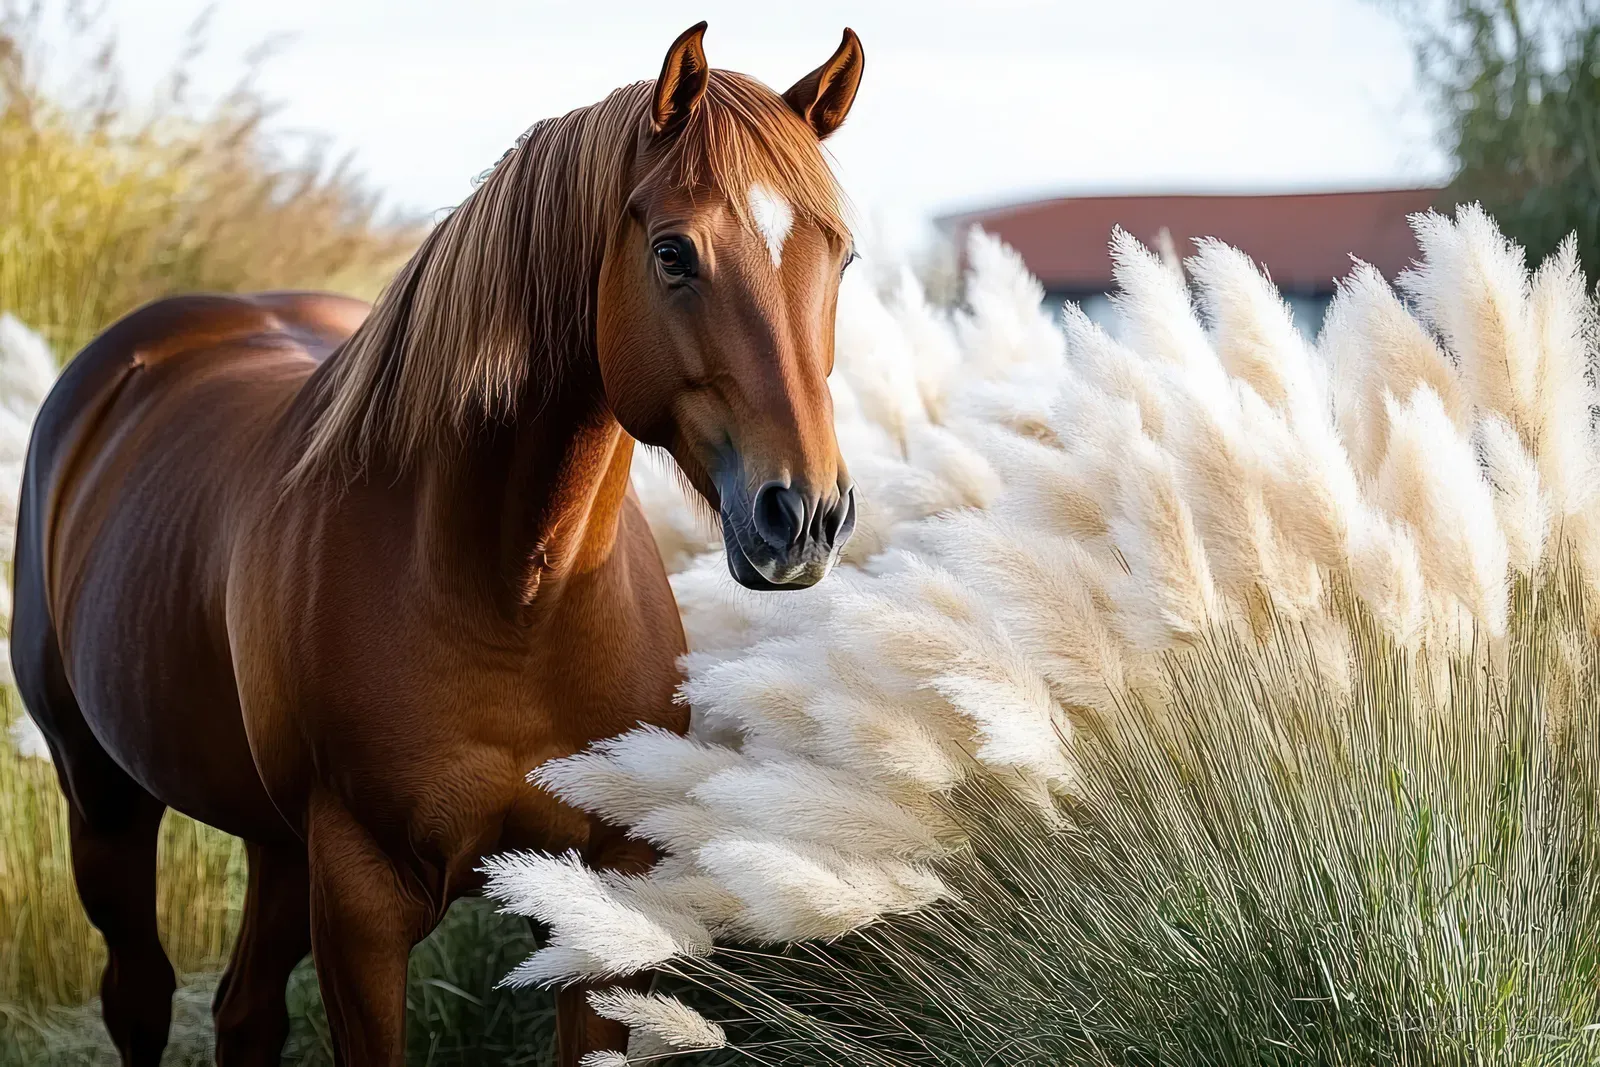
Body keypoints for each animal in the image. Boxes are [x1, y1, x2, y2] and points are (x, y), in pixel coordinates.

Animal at [10, 22, 863, 1065]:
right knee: (139, 994)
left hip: (275, 842)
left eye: (841, 258)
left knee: (244, 1011)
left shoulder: (600, 895)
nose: (805, 515)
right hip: (104, 798)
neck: (514, 597)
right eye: (673, 253)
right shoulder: (362, 902)